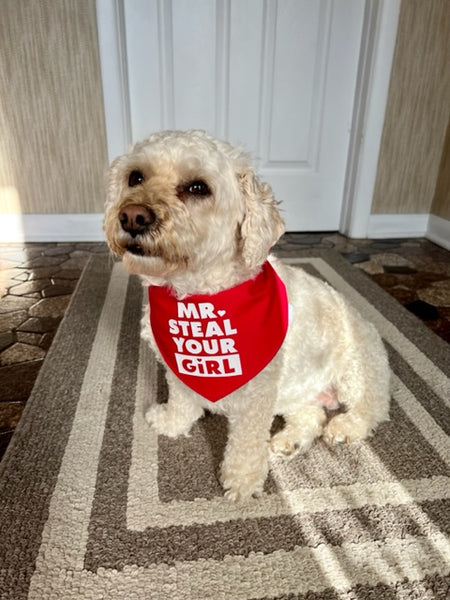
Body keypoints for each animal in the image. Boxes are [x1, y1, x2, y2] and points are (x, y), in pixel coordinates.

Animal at [103, 130, 390, 502]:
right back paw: (289, 441)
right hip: (295, 391)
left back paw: (344, 426)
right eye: (135, 177)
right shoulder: (178, 367)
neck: (197, 297)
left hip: (356, 371)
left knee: (372, 408)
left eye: (198, 187)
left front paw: (242, 479)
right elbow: (181, 396)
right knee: (310, 414)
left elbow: (245, 442)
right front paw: (173, 422)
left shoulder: (256, 395)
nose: (132, 216)